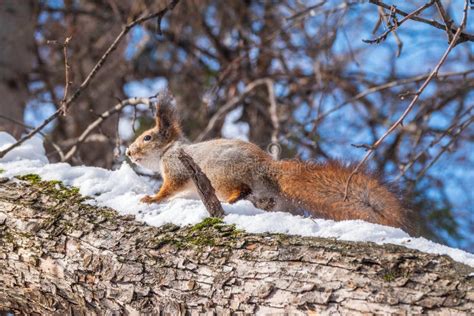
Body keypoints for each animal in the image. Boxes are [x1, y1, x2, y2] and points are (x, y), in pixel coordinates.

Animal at [126, 91, 414, 235]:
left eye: (147, 137)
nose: (128, 152)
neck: (168, 151)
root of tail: (266, 169)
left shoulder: (176, 166)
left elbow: (169, 189)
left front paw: (151, 198)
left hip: (221, 174)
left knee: (240, 188)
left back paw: (232, 200)